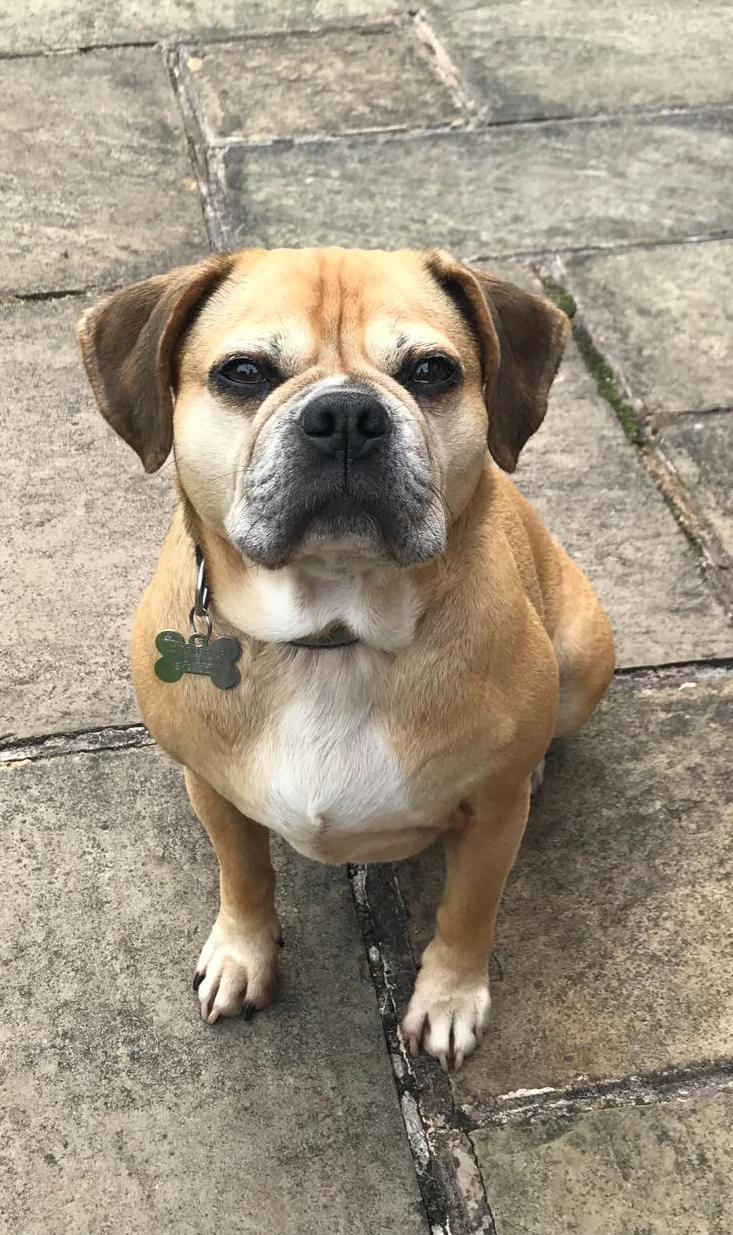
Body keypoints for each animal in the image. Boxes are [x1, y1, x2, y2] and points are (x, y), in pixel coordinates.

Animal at [78, 247, 614, 1072]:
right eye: (242, 372)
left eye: (431, 370)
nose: (345, 417)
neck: (333, 631)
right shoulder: (213, 787)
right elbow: (244, 873)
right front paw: (242, 954)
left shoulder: (492, 820)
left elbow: (467, 909)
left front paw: (449, 997)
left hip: (585, 651)